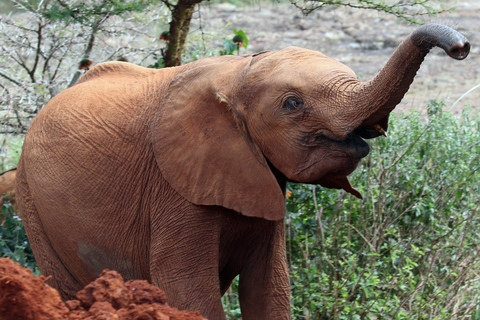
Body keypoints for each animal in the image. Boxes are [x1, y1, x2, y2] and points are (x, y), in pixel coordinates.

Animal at [15, 23, 468, 320]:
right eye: (292, 104)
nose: (462, 46)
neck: (239, 71)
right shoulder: (174, 184)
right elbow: (186, 287)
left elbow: (269, 287)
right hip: (32, 202)